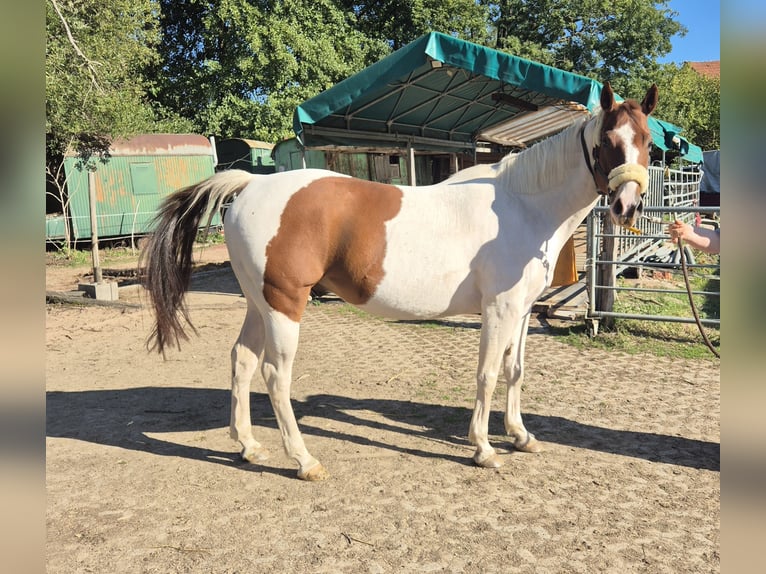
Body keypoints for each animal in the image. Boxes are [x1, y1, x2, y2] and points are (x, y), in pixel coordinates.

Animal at [144, 82, 658, 480]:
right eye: (608, 138)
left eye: (648, 140)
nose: (627, 206)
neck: (519, 204)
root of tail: (251, 185)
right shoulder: (499, 309)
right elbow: (488, 374)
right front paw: (484, 448)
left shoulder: (523, 308)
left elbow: (514, 371)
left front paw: (520, 435)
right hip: (284, 304)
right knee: (274, 374)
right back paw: (304, 460)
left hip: (257, 303)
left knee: (243, 362)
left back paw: (249, 446)